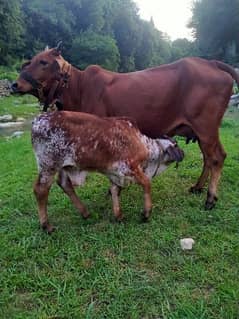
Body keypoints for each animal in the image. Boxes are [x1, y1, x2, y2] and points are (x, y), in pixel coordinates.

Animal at [12, 45, 239, 210]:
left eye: (43, 62)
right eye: (29, 61)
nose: (14, 85)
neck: (79, 88)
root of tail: (211, 62)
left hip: (206, 127)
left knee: (217, 157)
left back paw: (210, 198)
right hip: (202, 131)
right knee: (208, 158)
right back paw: (198, 187)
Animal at [31, 111, 184, 234]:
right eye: (176, 145)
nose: (183, 153)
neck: (144, 144)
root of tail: (37, 120)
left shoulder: (115, 174)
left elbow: (115, 190)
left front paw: (118, 215)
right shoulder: (130, 167)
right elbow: (146, 184)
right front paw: (146, 213)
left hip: (65, 166)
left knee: (64, 184)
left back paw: (85, 213)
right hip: (48, 165)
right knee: (41, 190)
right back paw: (46, 225)